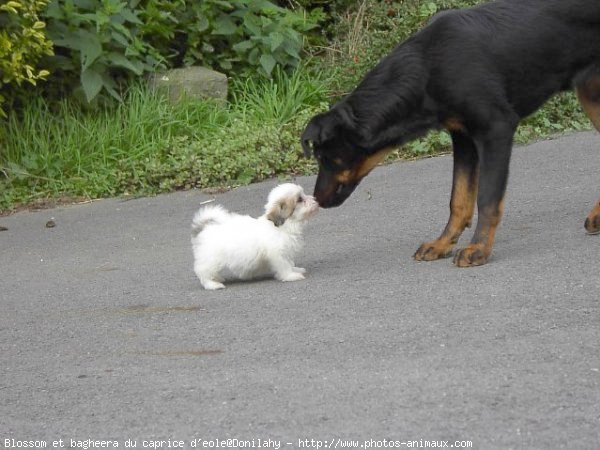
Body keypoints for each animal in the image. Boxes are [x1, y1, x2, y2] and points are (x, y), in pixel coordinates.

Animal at [302, 0, 600, 268]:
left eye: (324, 158)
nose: (317, 200)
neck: (427, 69)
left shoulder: (496, 128)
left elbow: (487, 199)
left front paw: (479, 248)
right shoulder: (463, 137)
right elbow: (459, 199)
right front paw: (443, 243)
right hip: (590, 95)